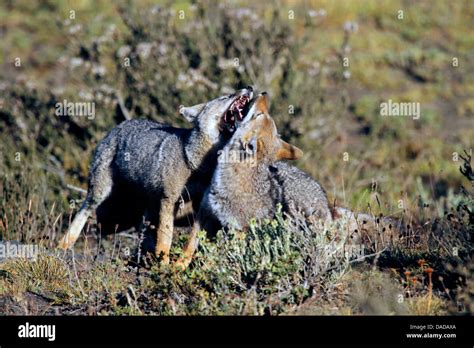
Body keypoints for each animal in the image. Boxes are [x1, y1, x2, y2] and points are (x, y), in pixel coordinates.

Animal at [59, 87, 256, 264]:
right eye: (226, 96)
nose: (249, 88)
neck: (198, 165)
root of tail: (119, 125)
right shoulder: (170, 200)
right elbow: (166, 237)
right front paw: (164, 264)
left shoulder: (201, 205)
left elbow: (193, 238)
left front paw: (181, 264)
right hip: (100, 193)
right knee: (83, 212)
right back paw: (63, 246)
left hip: (148, 204)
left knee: (142, 229)